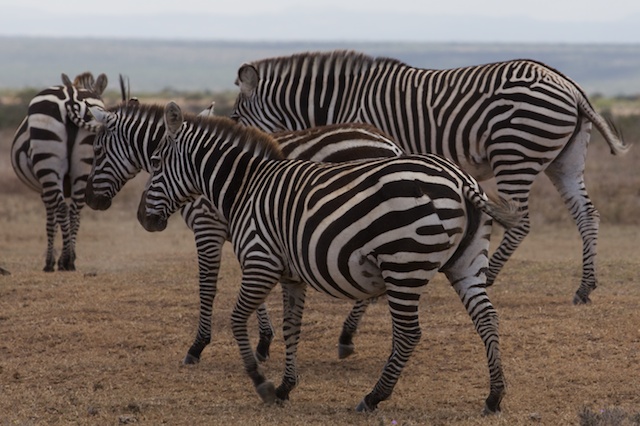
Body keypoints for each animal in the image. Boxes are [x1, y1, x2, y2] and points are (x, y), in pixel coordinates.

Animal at [10, 71, 109, 272]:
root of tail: (72, 98)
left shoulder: (44, 191)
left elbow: (51, 221)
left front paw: (49, 261)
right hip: (84, 164)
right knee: (75, 209)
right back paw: (70, 260)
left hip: (47, 160)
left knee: (63, 208)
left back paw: (64, 260)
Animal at [85, 101, 404, 364]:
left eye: (97, 151)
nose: (91, 200)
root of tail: (390, 144)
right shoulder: (249, 233)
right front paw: (264, 342)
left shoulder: (208, 227)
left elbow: (207, 285)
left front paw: (198, 346)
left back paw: (347, 336)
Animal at [135, 101, 520, 414]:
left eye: (155, 162)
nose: (142, 219)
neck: (246, 187)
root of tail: (459, 178)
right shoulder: (290, 274)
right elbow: (292, 326)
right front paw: (286, 387)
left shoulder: (261, 261)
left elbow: (236, 319)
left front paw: (261, 383)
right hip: (465, 263)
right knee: (487, 318)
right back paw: (494, 396)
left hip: (403, 262)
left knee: (409, 333)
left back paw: (373, 397)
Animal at [230, 50, 632, 304]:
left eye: (233, 118)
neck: (340, 99)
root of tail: (570, 85)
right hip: (564, 159)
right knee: (587, 215)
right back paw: (585, 287)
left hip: (515, 152)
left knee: (520, 221)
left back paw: (490, 276)